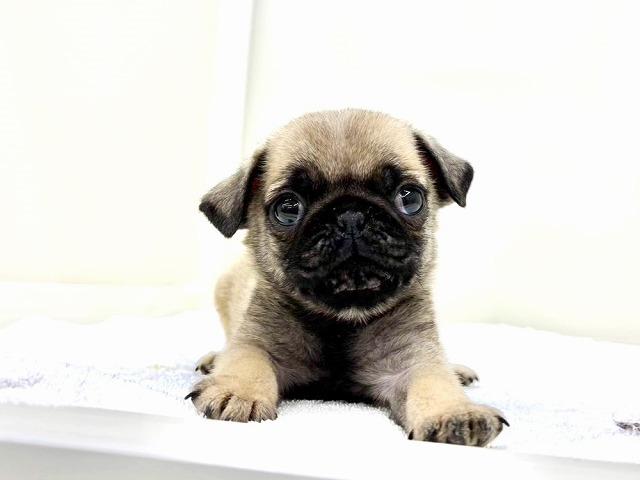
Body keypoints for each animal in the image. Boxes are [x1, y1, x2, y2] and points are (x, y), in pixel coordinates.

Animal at [186, 109, 508, 446]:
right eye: (288, 208)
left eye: (409, 198)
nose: (351, 216)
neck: (341, 320)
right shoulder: (257, 343)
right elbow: (247, 361)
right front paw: (237, 391)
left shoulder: (412, 360)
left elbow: (434, 380)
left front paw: (454, 412)